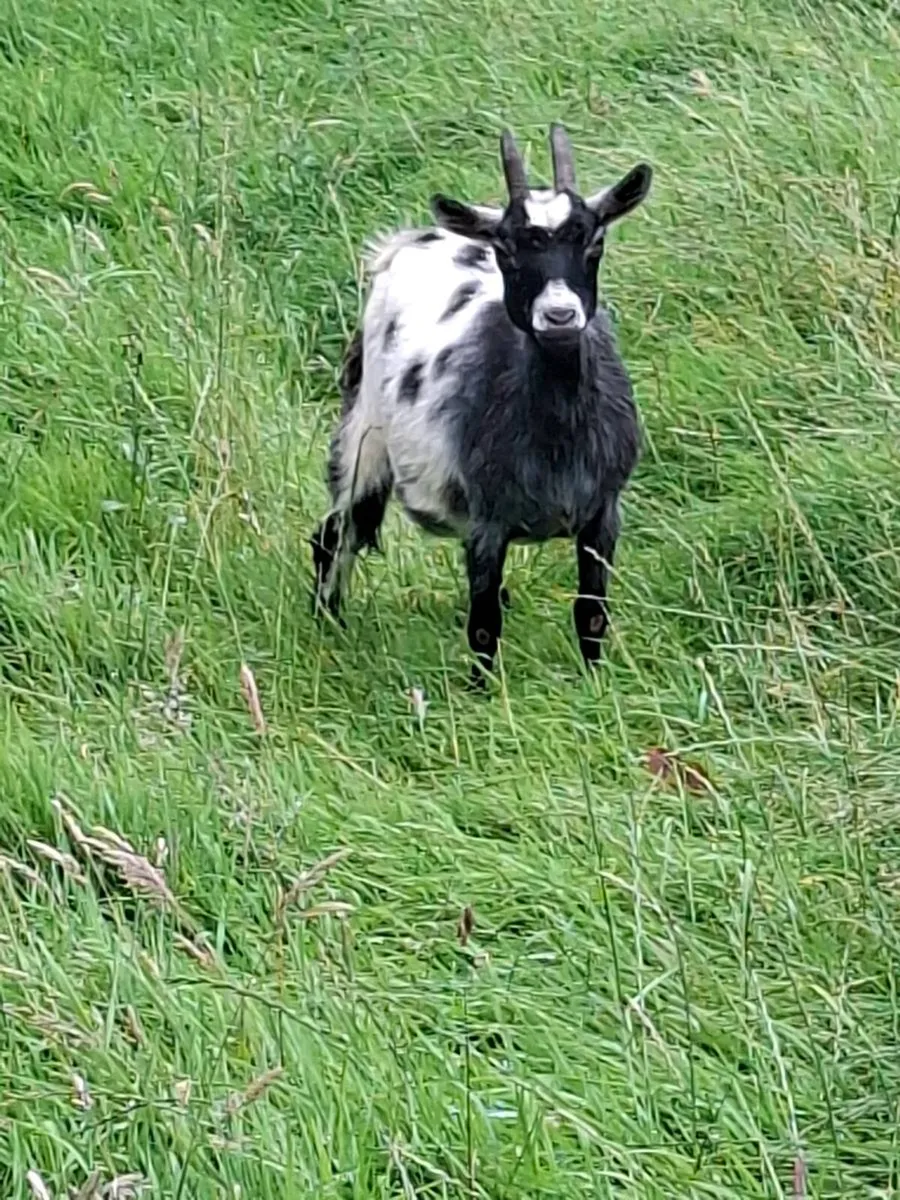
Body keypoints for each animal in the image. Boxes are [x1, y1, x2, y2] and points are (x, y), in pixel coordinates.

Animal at [311, 124, 652, 684]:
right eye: (507, 251)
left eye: (594, 241)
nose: (559, 315)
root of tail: (409, 242)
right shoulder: (486, 524)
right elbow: (484, 624)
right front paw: (482, 692)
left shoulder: (604, 512)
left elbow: (590, 611)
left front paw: (594, 680)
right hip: (362, 435)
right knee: (336, 535)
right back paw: (329, 628)